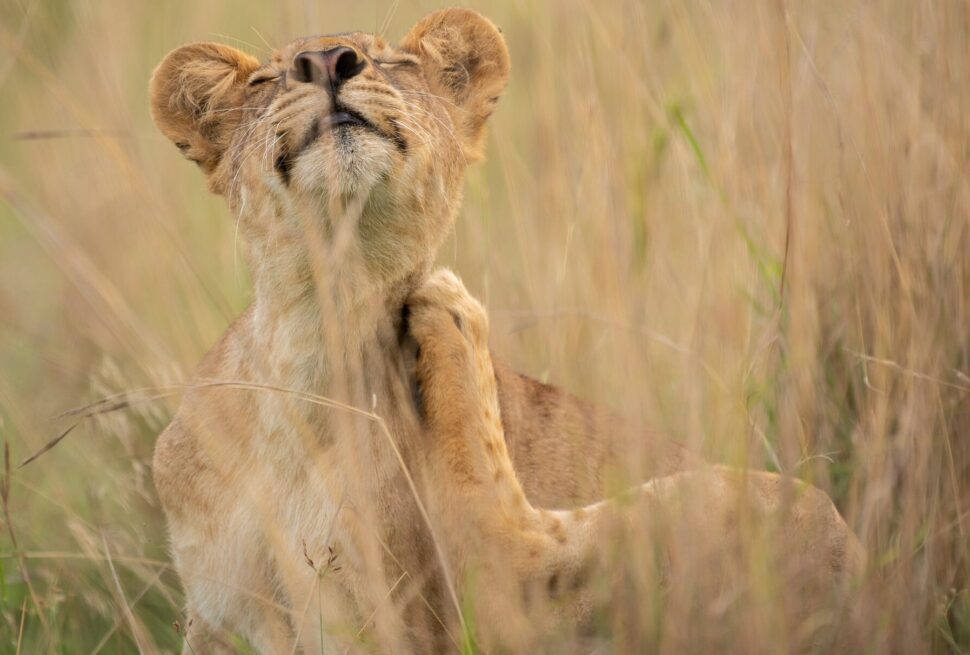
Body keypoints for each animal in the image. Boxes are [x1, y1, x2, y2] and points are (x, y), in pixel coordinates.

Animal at [149, 8, 697, 653]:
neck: (320, 326)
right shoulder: (215, 612)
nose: (327, 61)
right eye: (265, 81)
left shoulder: (387, 618)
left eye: (395, 62)